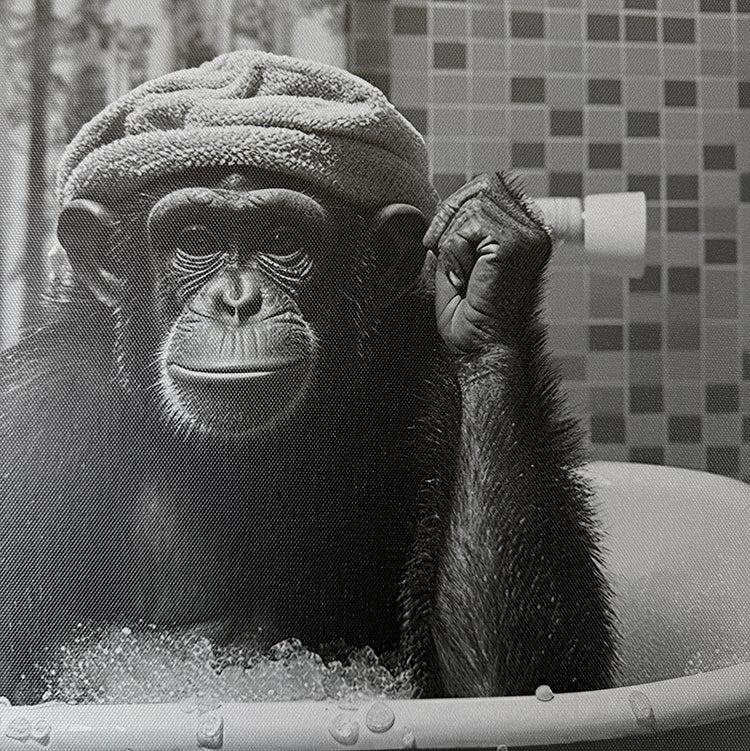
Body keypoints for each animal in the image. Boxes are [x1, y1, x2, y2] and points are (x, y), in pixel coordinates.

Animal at [0, 51, 618, 704]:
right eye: (195, 239)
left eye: (281, 239)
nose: (238, 300)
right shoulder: (31, 421)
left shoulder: (435, 397)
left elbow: (508, 683)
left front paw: (488, 269)